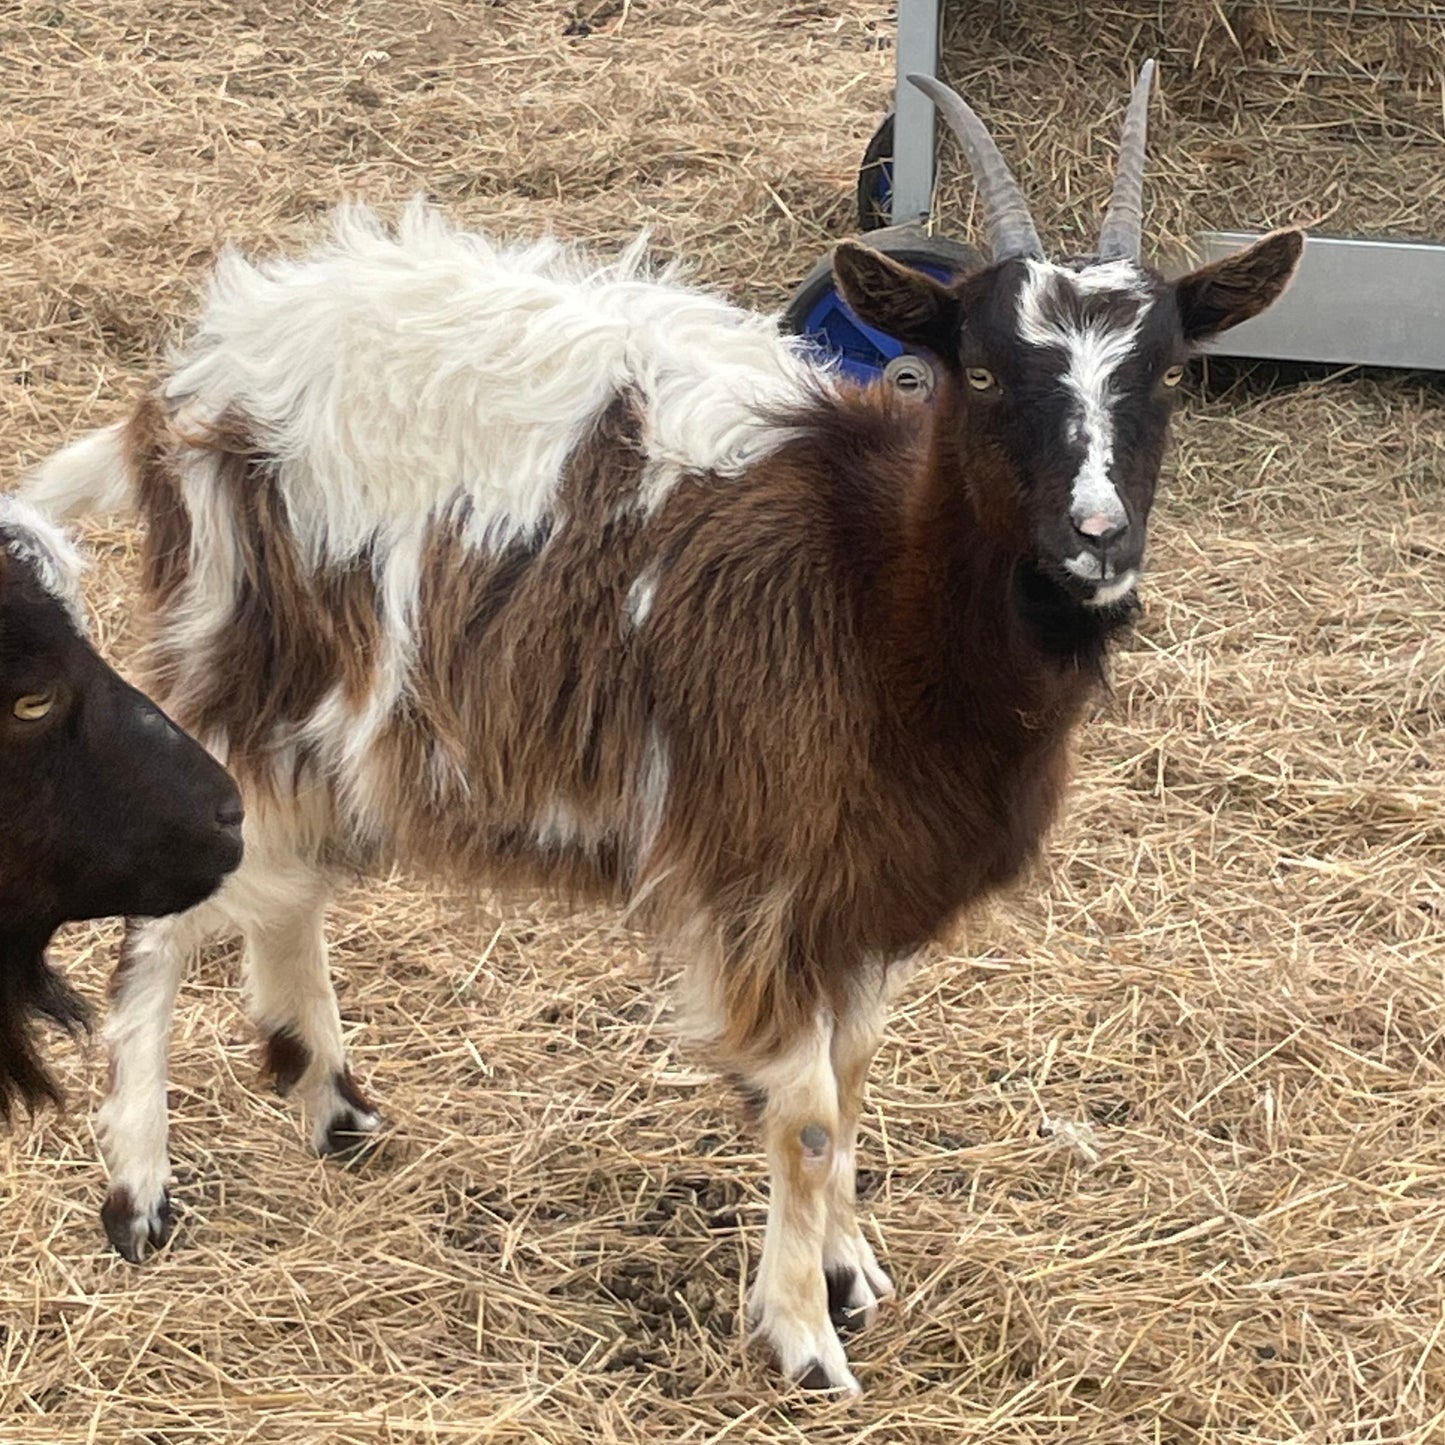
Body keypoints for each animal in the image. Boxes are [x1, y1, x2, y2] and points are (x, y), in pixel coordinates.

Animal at [25, 65, 1301, 1392]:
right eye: (986, 373)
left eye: (1165, 374)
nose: (1092, 539)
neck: (869, 591)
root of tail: (176, 396)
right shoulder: (762, 873)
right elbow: (805, 1112)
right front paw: (802, 1338)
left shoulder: (862, 885)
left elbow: (852, 1082)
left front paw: (847, 1274)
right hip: (250, 680)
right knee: (170, 921)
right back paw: (139, 1194)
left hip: (346, 736)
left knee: (286, 893)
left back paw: (332, 1105)